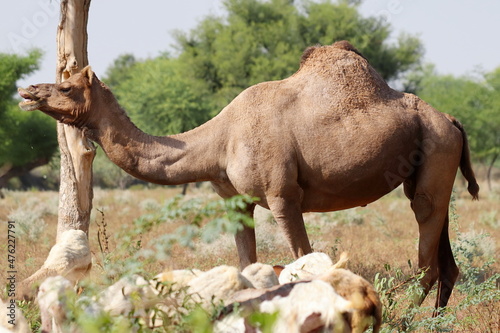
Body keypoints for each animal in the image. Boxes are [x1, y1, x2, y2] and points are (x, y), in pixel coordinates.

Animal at [18, 40, 480, 310]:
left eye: (66, 87)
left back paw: (404, 316)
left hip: (436, 150)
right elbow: (246, 265)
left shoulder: (283, 196)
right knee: (445, 257)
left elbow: (303, 263)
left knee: (427, 248)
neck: (220, 140)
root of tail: (452, 120)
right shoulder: (234, 200)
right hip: (432, 164)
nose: (28, 91)